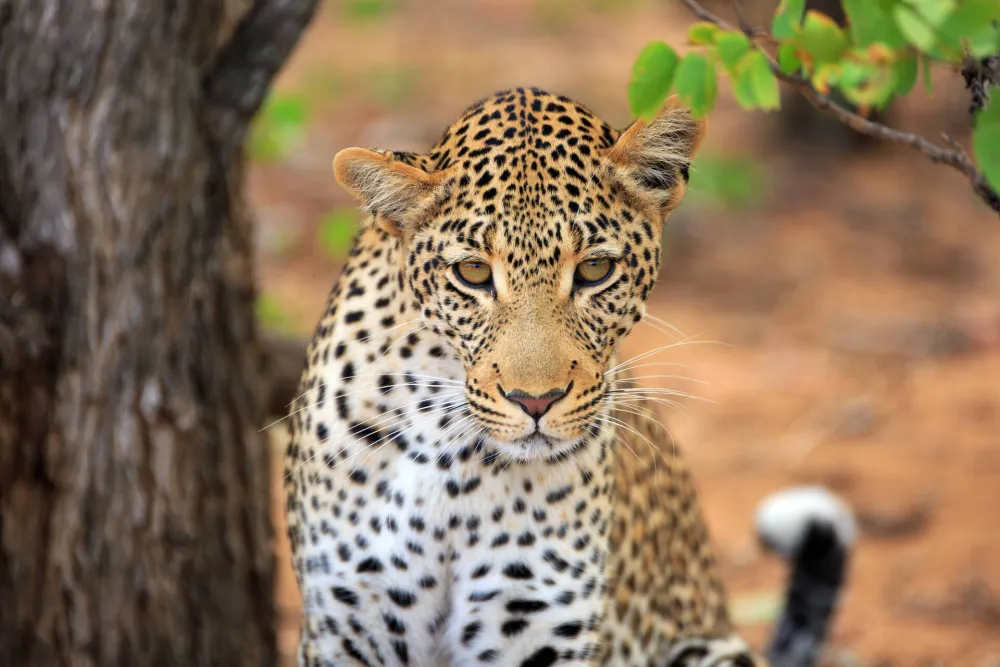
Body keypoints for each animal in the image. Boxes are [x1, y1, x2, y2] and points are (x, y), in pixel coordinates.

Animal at [283, 87, 856, 667]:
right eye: (472, 273)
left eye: (594, 270)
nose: (535, 402)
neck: (452, 465)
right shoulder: (346, 625)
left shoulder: (538, 625)